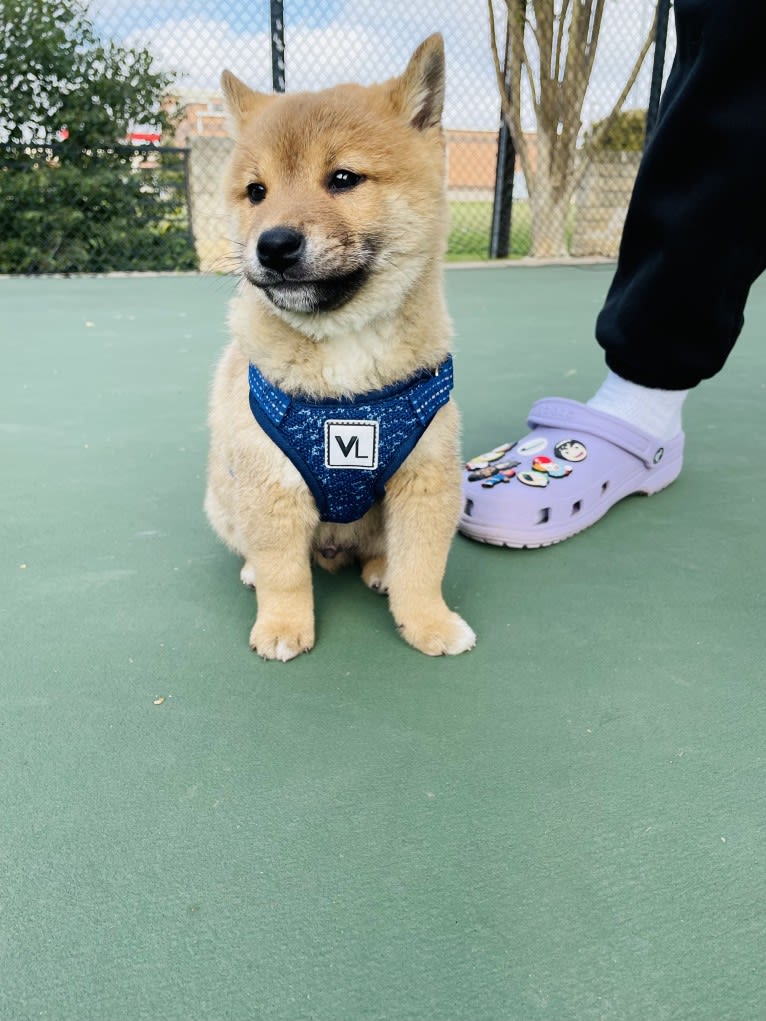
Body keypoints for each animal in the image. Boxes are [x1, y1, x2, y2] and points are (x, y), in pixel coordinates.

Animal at [207, 33, 477, 661]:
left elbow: (422, 567)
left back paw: (379, 569)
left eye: (344, 179)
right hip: (223, 496)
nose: (273, 245)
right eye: (256, 192)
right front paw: (283, 625)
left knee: (383, 553)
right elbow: (284, 573)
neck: (346, 348)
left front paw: (428, 623)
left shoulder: (426, 478)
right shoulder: (269, 483)